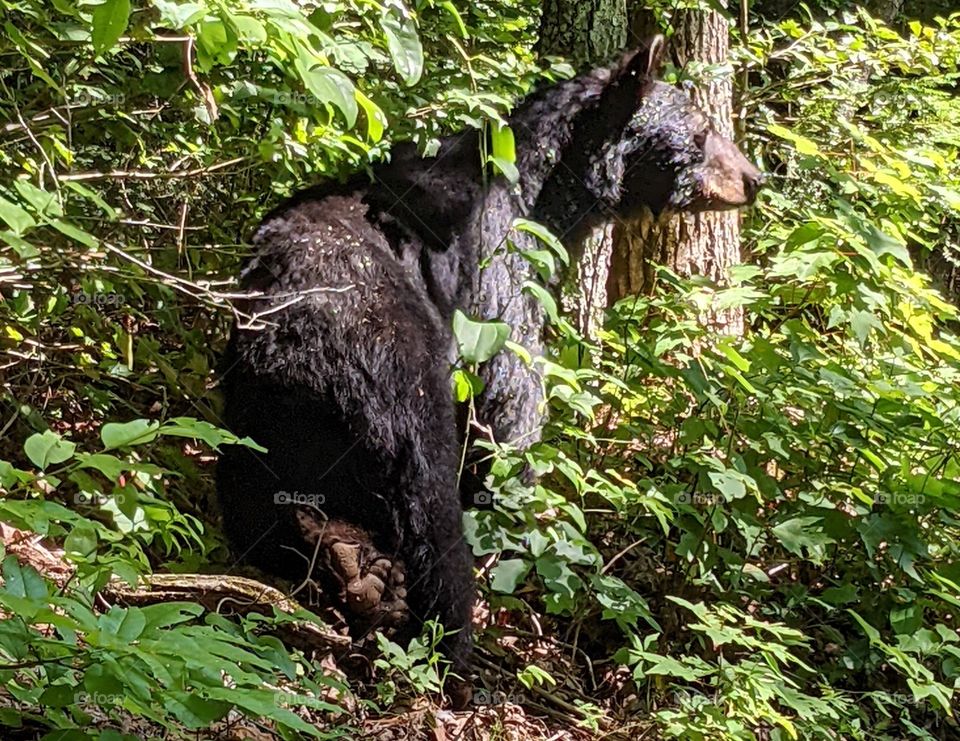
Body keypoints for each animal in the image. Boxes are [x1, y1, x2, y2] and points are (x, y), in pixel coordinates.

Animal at [215, 36, 763, 693]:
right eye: (703, 128)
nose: (755, 178)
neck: (546, 193)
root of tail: (297, 322)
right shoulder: (501, 276)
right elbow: (511, 404)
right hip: (399, 377)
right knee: (429, 507)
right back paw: (442, 636)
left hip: (257, 409)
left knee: (253, 496)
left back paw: (342, 563)